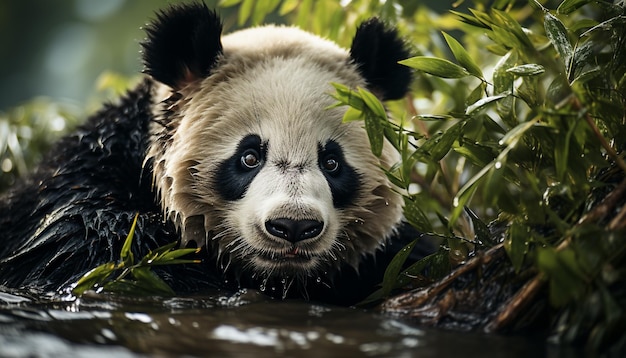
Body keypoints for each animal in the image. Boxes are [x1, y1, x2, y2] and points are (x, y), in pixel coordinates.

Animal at [0, 2, 424, 304]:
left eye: (332, 162)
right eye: (249, 156)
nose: (293, 226)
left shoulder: (389, 257)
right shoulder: (86, 208)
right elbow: (104, 255)